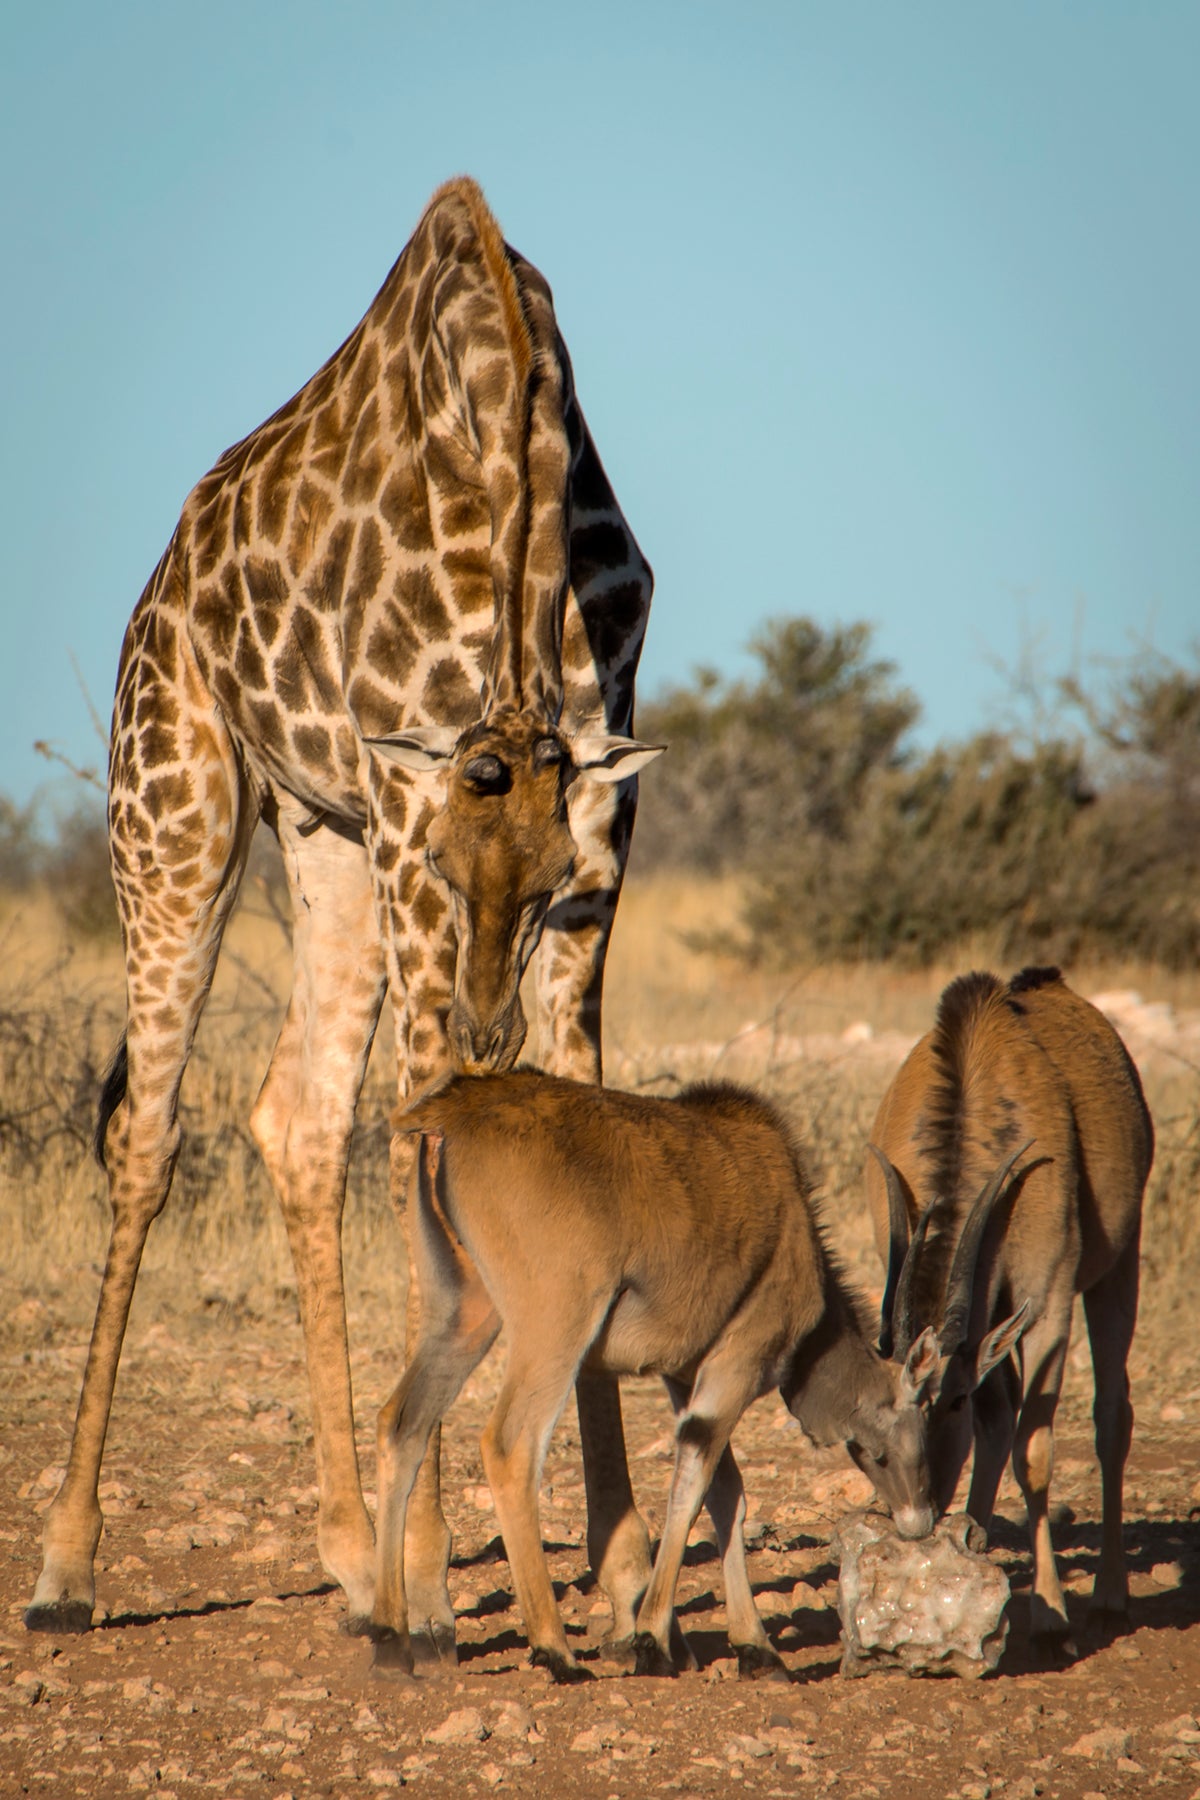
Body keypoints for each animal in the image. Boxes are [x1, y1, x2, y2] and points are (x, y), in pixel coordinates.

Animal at [26, 177, 662, 1650]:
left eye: (548, 890)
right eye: (455, 865)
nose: (489, 1029)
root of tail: (167, 574)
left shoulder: (601, 834)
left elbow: (581, 1120)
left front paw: (612, 1568)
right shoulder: (406, 819)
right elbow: (419, 1131)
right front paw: (431, 1589)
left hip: (323, 845)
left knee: (298, 1116)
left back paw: (346, 1552)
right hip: (180, 809)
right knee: (150, 1133)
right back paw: (70, 1567)